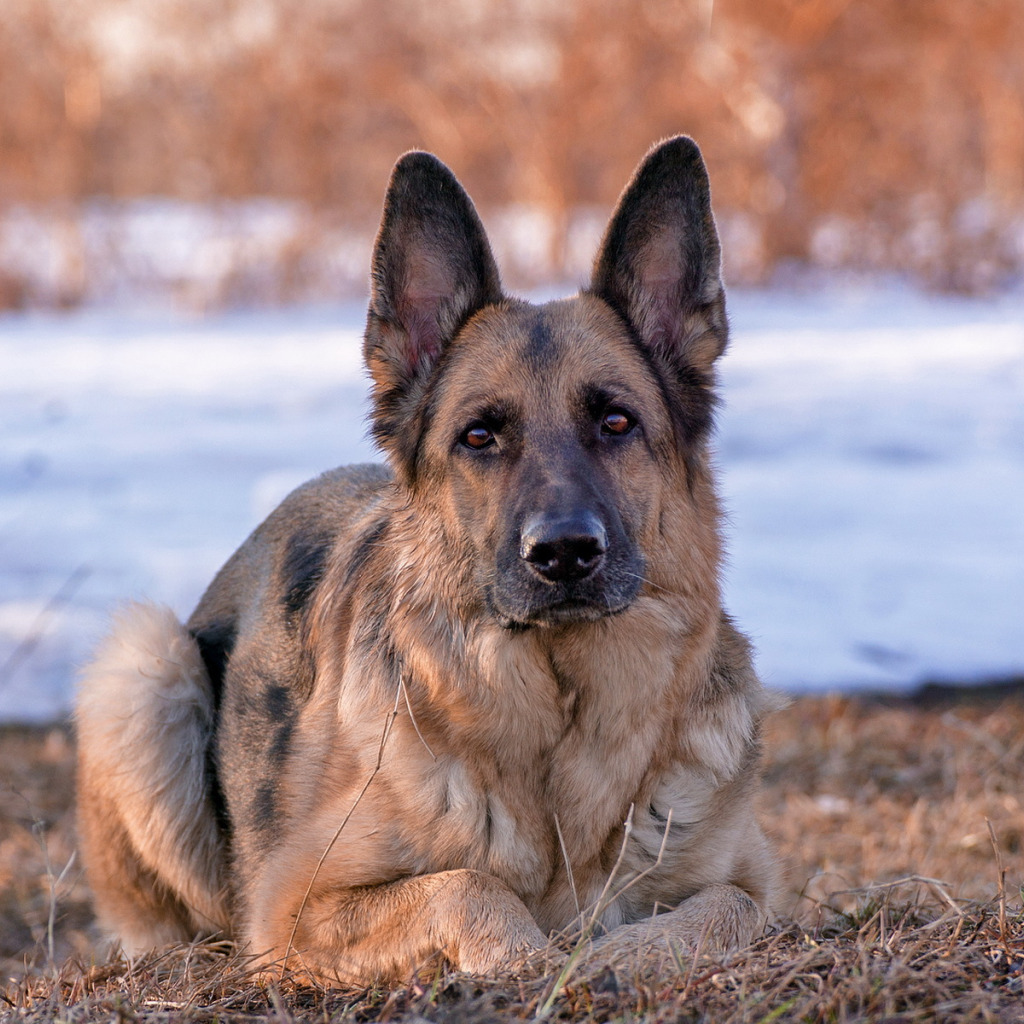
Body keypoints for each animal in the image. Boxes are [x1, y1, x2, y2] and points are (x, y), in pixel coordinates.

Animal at [77, 136, 774, 983]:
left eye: (616, 422)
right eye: (478, 437)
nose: (564, 552)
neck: (560, 720)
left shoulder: (757, 886)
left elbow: (726, 908)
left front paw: (626, 952)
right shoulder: (291, 912)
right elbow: (466, 885)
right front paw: (531, 959)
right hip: (143, 666)